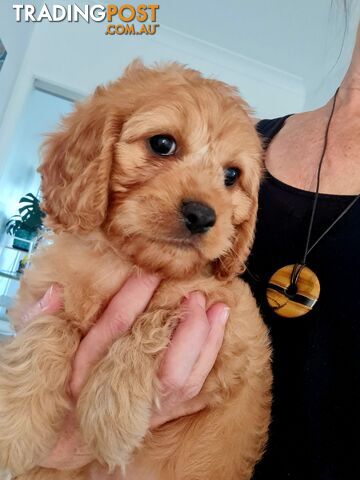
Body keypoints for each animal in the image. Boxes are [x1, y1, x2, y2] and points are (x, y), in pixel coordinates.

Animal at [0, 62, 272, 478]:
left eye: (231, 176)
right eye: (162, 144)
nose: (202, 215)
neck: (126, 261)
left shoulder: (237, 334)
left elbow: (158, 317)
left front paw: (109, 411)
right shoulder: (43, 293)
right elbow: (52, 326)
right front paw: (15, 421)